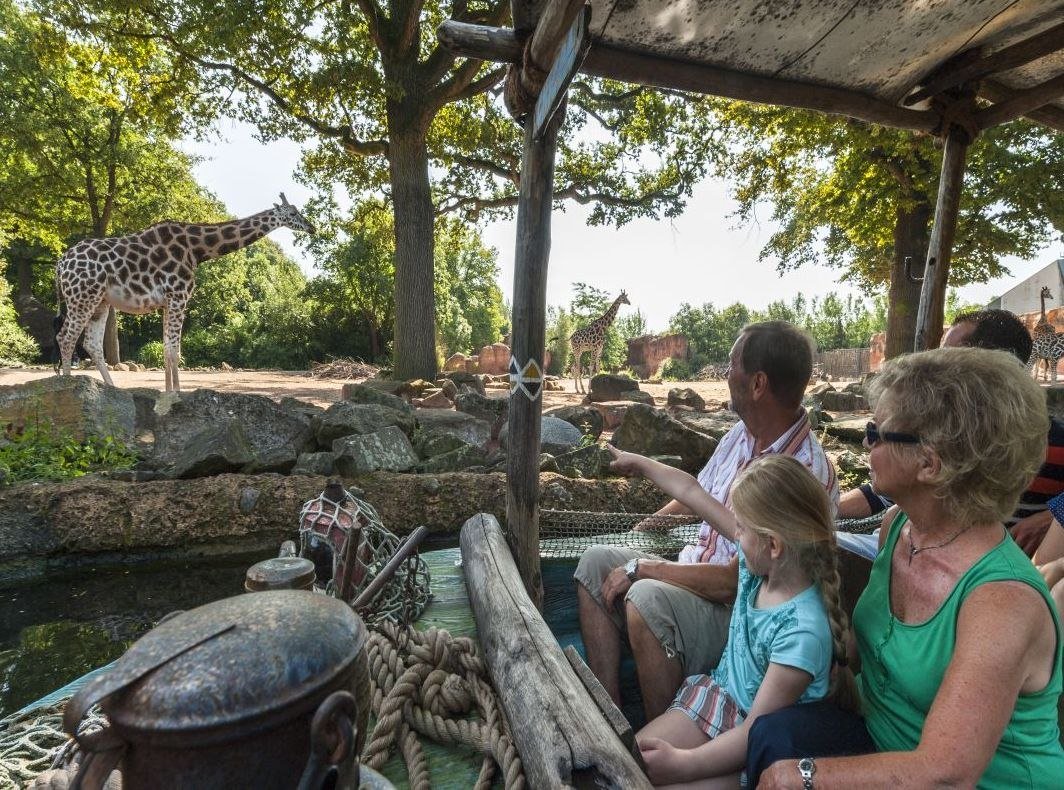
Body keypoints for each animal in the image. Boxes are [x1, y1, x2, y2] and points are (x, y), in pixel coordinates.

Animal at [55, 194, 310, 393]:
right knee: (66, 337)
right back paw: (67, 389)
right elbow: (174, 351)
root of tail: (60, 265)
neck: (197, 249)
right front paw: (177, 394)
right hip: (82, 297)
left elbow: (167, 349)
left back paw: (111, 389)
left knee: (91, 344)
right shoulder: (179, 296)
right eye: (293, 212)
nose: (311, 227)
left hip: (100, 302)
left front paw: (169, 392)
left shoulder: (167, 301)